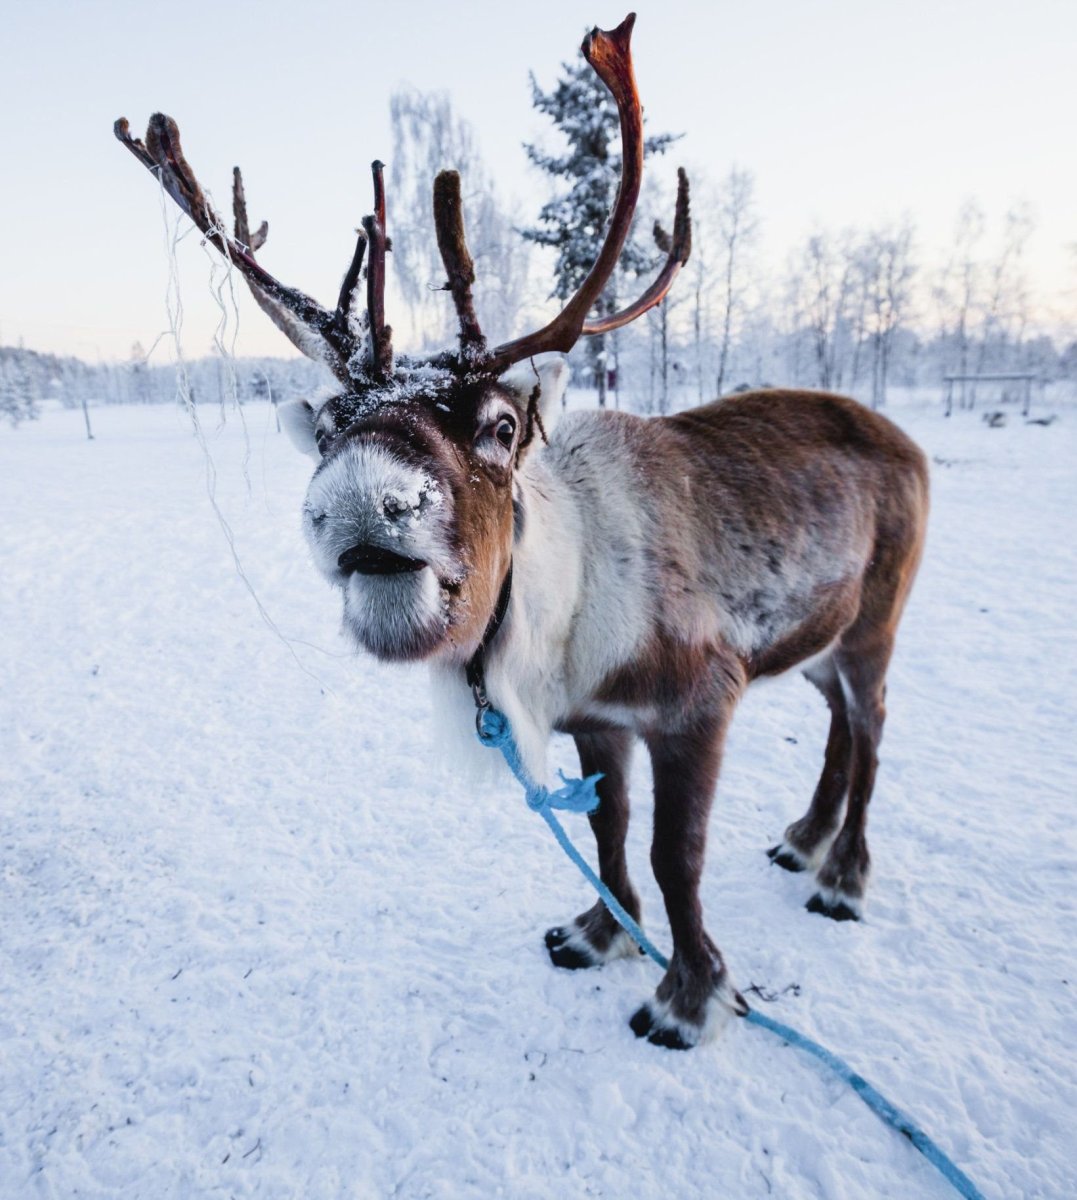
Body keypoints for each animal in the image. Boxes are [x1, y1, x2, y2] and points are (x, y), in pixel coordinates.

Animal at [115, 13, 928, 1050]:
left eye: (501, 428)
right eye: (330, 426)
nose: (363, 500)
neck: (555, 617)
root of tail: (904, 439)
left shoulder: (701, 699)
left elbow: (674, 856)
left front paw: (689, 995)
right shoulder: (598, 719)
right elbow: (606, 832)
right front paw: (598, 932)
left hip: (877, 622)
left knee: (871, 729)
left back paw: (843, 878)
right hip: (821, 634)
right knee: (834, 724)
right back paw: (801, 842)